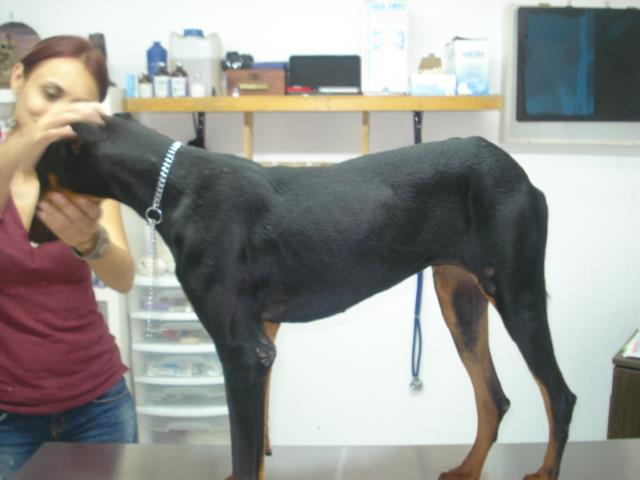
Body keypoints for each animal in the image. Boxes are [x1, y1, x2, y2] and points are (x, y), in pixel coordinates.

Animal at [31, 116, 576, 480]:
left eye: (39, 172)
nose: (32, 235)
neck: (175, 185)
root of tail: (520, 174)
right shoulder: (264, 340)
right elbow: (256, 448)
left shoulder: (242, 353)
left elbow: (245, 451)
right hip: (458, 297)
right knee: (494, 399)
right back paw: (466, 470)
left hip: (517, 296)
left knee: (559, 396)